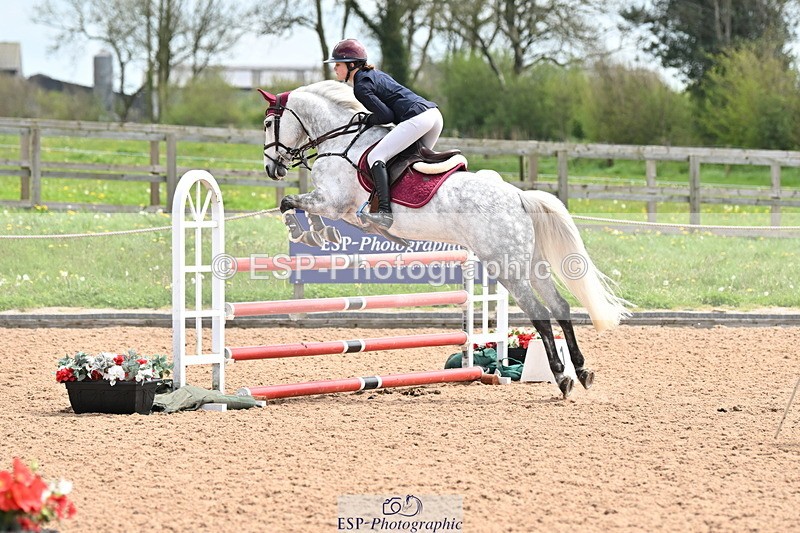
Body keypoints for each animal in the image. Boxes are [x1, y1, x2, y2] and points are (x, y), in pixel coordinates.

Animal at [258, 79, 629, 398]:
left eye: (267, 123)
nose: (272, 169)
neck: (340, 142)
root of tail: (520, 197)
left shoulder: (334, 203)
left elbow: (292, 204)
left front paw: (309, 230)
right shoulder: (343, 208)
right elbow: (317, 211)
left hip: (505, 266)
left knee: (539, 313)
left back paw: (562, 376)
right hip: (530, 263)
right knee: (560, 306)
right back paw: (581, 371)